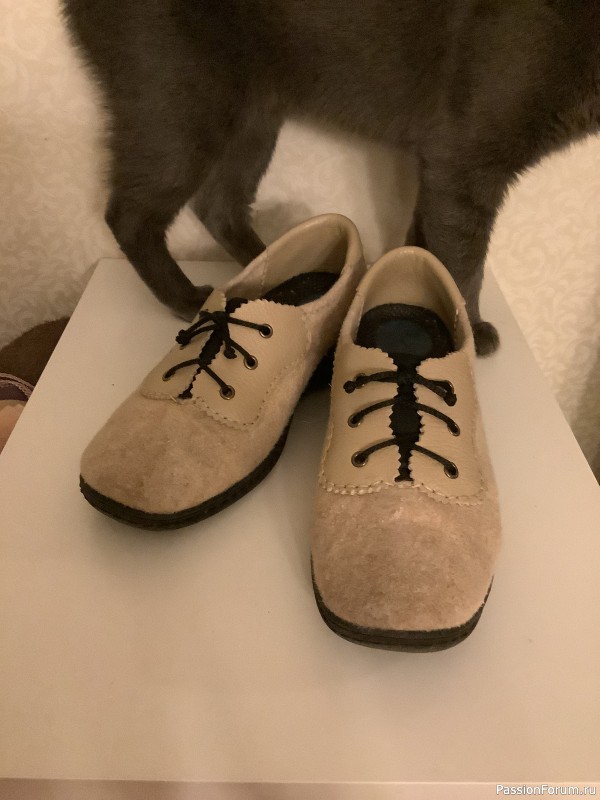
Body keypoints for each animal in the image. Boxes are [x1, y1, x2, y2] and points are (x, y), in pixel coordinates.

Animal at [62, 0, 600, 354]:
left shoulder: (441, 163)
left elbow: (425, 237)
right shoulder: (466, 158)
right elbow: (463, 260)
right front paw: (470, 327)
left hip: (255, 116)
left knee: (218, 205)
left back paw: (275, 264)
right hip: (180, 103)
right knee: (131, 214)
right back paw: (185, 298)